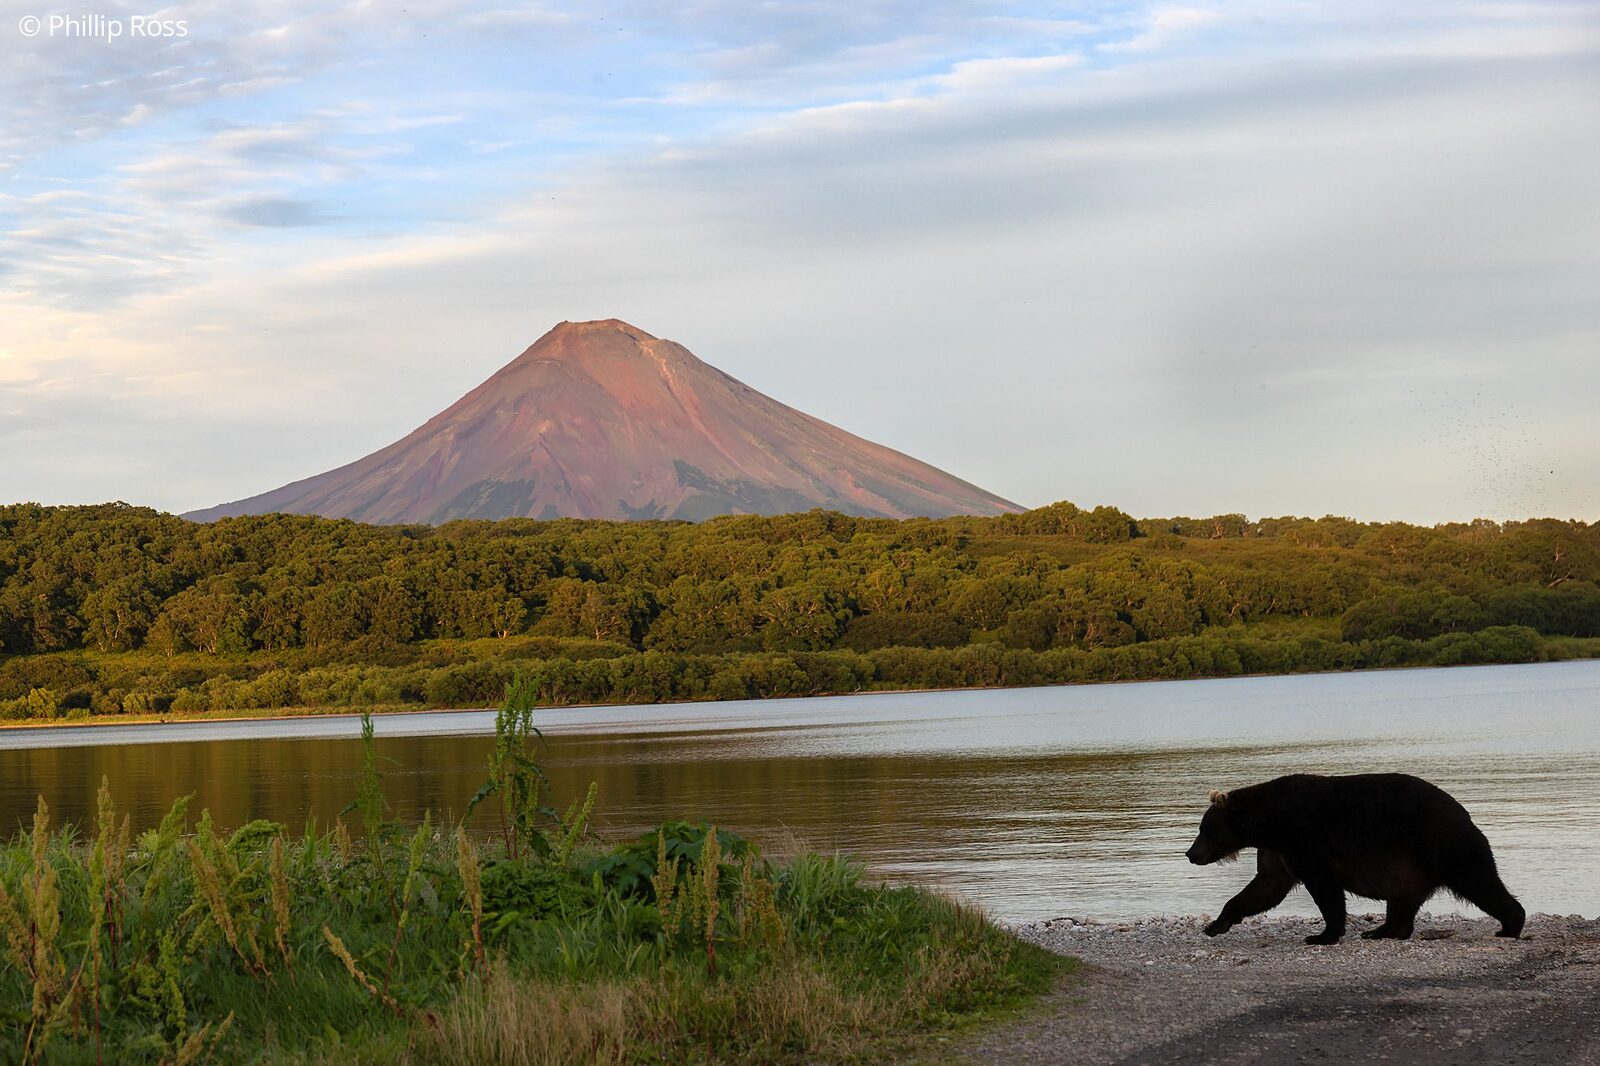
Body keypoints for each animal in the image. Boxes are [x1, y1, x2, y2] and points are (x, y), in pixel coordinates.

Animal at [1186, 772, 1525, 945]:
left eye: (1204, 829)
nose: (1190, 853)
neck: (1268, 823)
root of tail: (1464, 813)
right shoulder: (1277, 850)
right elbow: (1265, 886)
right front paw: (1217, 924)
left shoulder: (1303, 835)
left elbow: (1324, 886)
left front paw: (1322, 935)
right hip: (1408, 867)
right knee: (1402, 901)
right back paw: (1383, 931)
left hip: (1443, 844)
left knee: (1479, 881)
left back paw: (1510, 925)